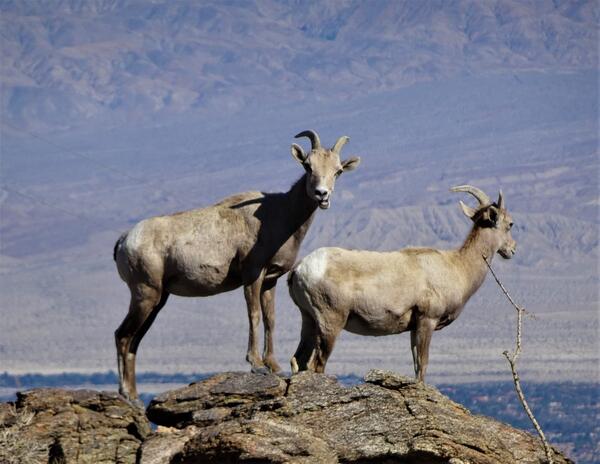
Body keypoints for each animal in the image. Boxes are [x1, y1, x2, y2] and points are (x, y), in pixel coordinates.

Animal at [115, 129, 360, 400]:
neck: (281, 215)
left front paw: (273, 366)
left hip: (157, 300)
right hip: (145, 294)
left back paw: (134, 396)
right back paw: (127, 394)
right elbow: (254, 315)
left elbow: (270, 318)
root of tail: (125, 240)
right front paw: (256, 365)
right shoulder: (253, 275)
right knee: (123, 336)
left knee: (134, 341)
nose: (322, 194)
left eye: (338, 171)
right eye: (308, 166)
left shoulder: (269, 281)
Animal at [288, 185, 516, 380]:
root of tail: (300, 270)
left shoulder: (414, 328)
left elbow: (416, 364)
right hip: (331, 322)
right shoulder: (427, 320)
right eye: (510, 224)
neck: (457, 266)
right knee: (317, 364)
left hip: (309, 320)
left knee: (298, 360)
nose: (512, 249)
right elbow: (422, 365)